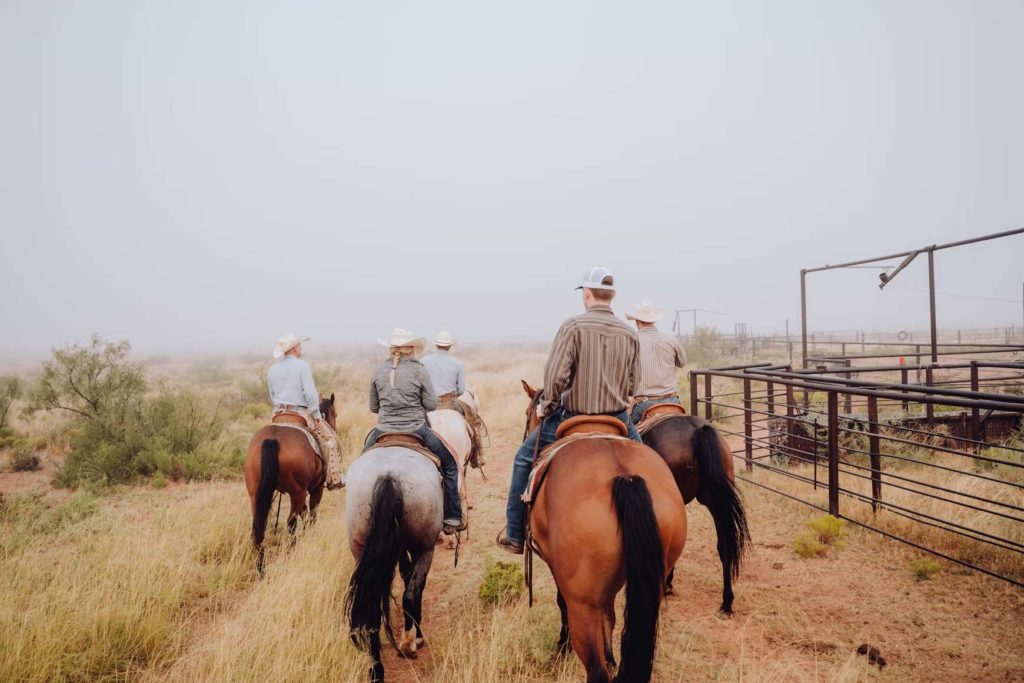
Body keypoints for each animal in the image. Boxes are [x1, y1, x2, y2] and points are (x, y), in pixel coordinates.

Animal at [244, 393, 337, 573]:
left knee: (258, 528)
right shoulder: (316, 488)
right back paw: (291, 551)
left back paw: (261, 568)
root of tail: (273, 439)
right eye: (335, 414)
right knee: (291, 523)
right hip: (298, 493)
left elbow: (305, 513)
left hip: (255, 494)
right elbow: (312, 513)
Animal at [344, 440, 448, 679]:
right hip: (425, 547)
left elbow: (405, 574)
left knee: (372, 612)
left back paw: (376, 670)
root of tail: (389, 476)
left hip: (361, 547)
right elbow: (413, 583)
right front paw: (417, 636)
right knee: (411, 594)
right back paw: (408, 644)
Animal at [520, 387, 688, 679]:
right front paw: (611, 658)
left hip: (582, 605)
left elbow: (561, 602)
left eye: (529, 412)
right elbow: (609, 616)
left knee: (595, 669)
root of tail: (625, 477)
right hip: (654, 585)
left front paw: (562, 648)